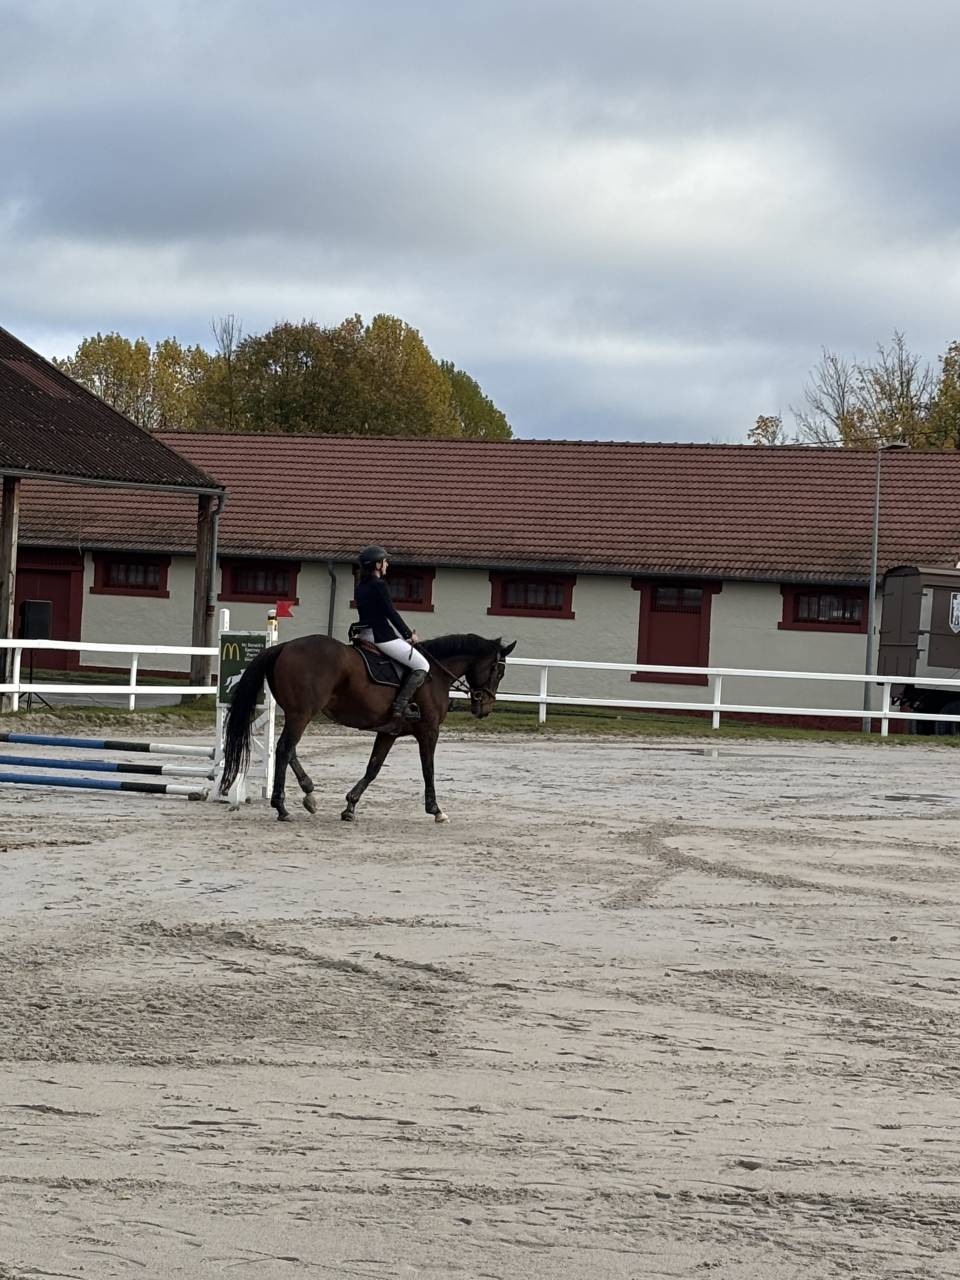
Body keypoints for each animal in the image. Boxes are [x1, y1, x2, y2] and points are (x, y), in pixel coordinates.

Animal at [218, 632, 516, 823]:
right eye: (498, 671)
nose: (485, 708)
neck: (435, 674)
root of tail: (285, 646)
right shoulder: (429, 731)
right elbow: (428, 770)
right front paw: (436, 810)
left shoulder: (388, 731)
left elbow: (373, 768)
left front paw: (350, 806)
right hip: (301, 714)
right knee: (283, 749)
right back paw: (281, 807)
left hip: (296, 713)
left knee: (289, 750)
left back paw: (309, 792)